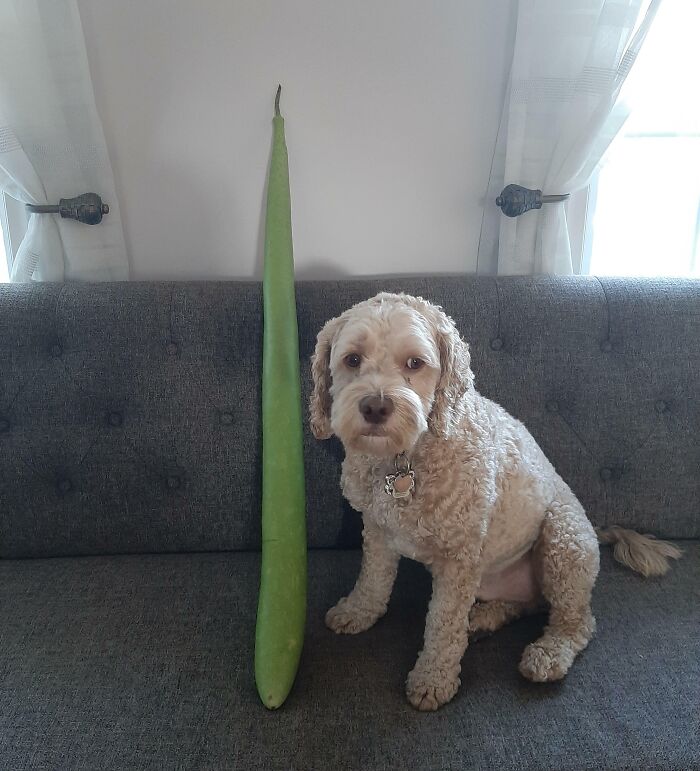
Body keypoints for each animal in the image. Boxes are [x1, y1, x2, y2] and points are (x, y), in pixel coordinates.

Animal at [308, 294, 680, 712]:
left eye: (415, 363)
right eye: (352, 359)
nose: (375, 407)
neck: (406, 459)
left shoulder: (459, 559)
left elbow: (442, 624)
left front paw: (433, 679)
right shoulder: (377, 530)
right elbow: (372, 580)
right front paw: (358, 612)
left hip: (563, 539)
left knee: (576, 620)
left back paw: (547, 653)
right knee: (528, 604)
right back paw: (484, 618)